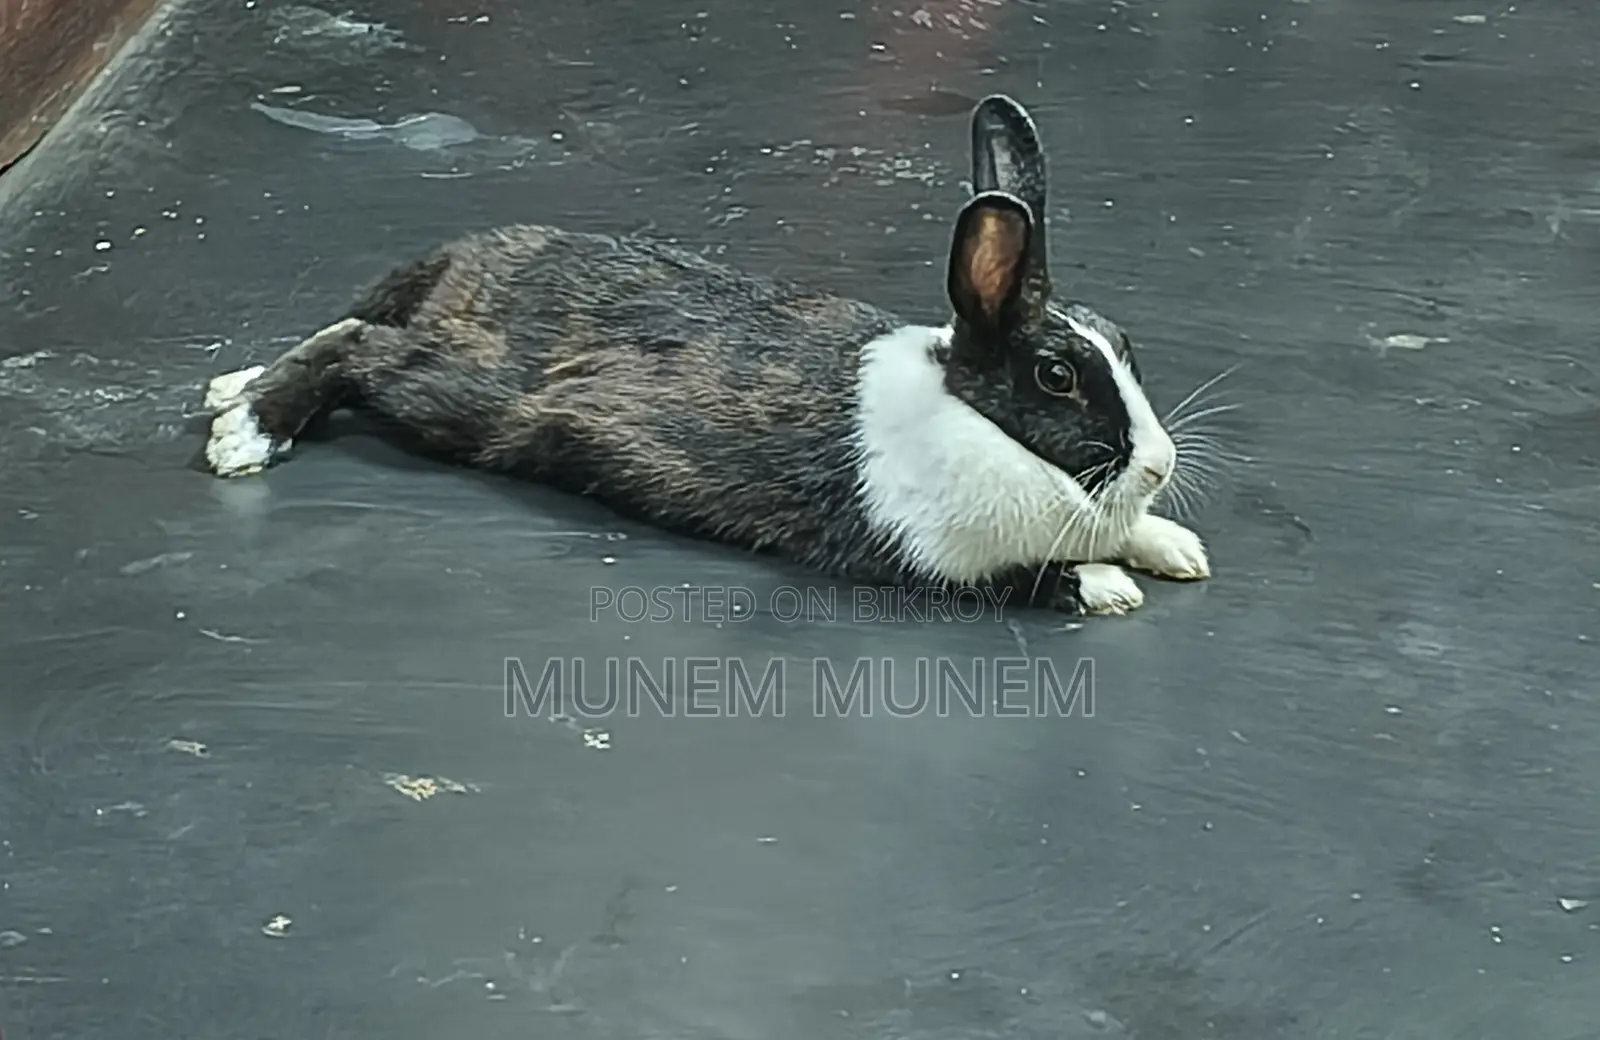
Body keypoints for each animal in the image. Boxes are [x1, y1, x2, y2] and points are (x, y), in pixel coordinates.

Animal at [201, 94, 1210, 616]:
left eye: (1125, 346)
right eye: (1056, 376)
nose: (1159, 467)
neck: (979, 423)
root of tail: (464, 258)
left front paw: (1175, 547)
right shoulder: (927, 554)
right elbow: (1031, 578)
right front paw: (1110, 585)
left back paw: (230, 388)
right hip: (456, 395)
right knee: (356, 348)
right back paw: (245, 431)